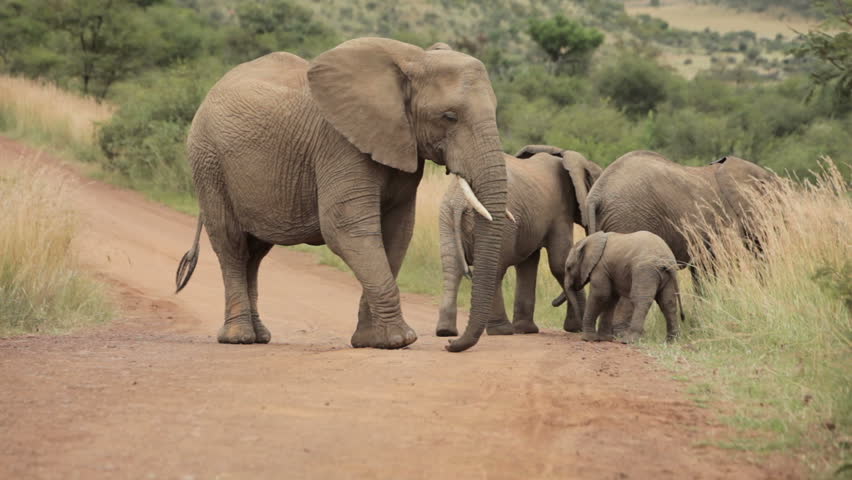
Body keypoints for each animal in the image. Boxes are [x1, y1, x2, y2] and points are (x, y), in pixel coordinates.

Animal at [174, 38, 508, 352]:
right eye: (449, 116)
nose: (450, 342)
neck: (414, 58)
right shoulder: (339, 144)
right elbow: (347, 229)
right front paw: (400, 339)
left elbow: (397, 233)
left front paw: (371, 341)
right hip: (208, 162)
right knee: (231, 243)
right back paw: (239, 338)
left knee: (254, 252)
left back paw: (260, 336)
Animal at [435, 145, 602, 338]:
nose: (553, 303)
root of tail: (460, 201)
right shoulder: (561, 210)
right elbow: (560, 263)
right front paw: (577, 328)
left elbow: (528, 264)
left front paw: (525, 330)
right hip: (501, 224)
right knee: (494, 270)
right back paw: (502, 330)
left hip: (446, 217)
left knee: (452, 267)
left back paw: (446, 331)